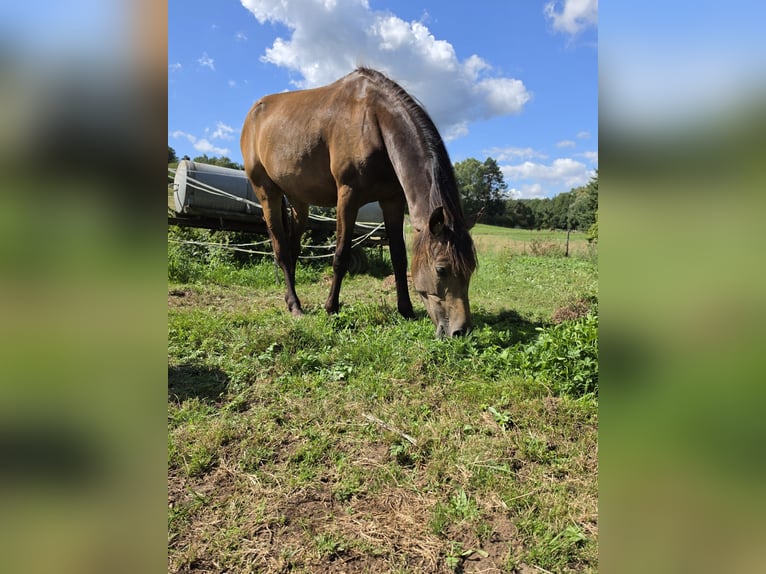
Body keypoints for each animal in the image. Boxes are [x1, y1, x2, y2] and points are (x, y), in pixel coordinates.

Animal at [240, 67, 477, 337]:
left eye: (471, 268)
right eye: (441, 269)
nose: (461, 330)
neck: (374, 119)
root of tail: (252, 114)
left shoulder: (392, 201)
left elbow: (398, 257)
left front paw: (405, 309)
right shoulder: (347, 196)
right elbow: (341, 255)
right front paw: (331, 307)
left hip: (299, 201)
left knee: (292, 249)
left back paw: (292, 301)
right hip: (267, 193)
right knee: (280, 249)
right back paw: (296, 306)